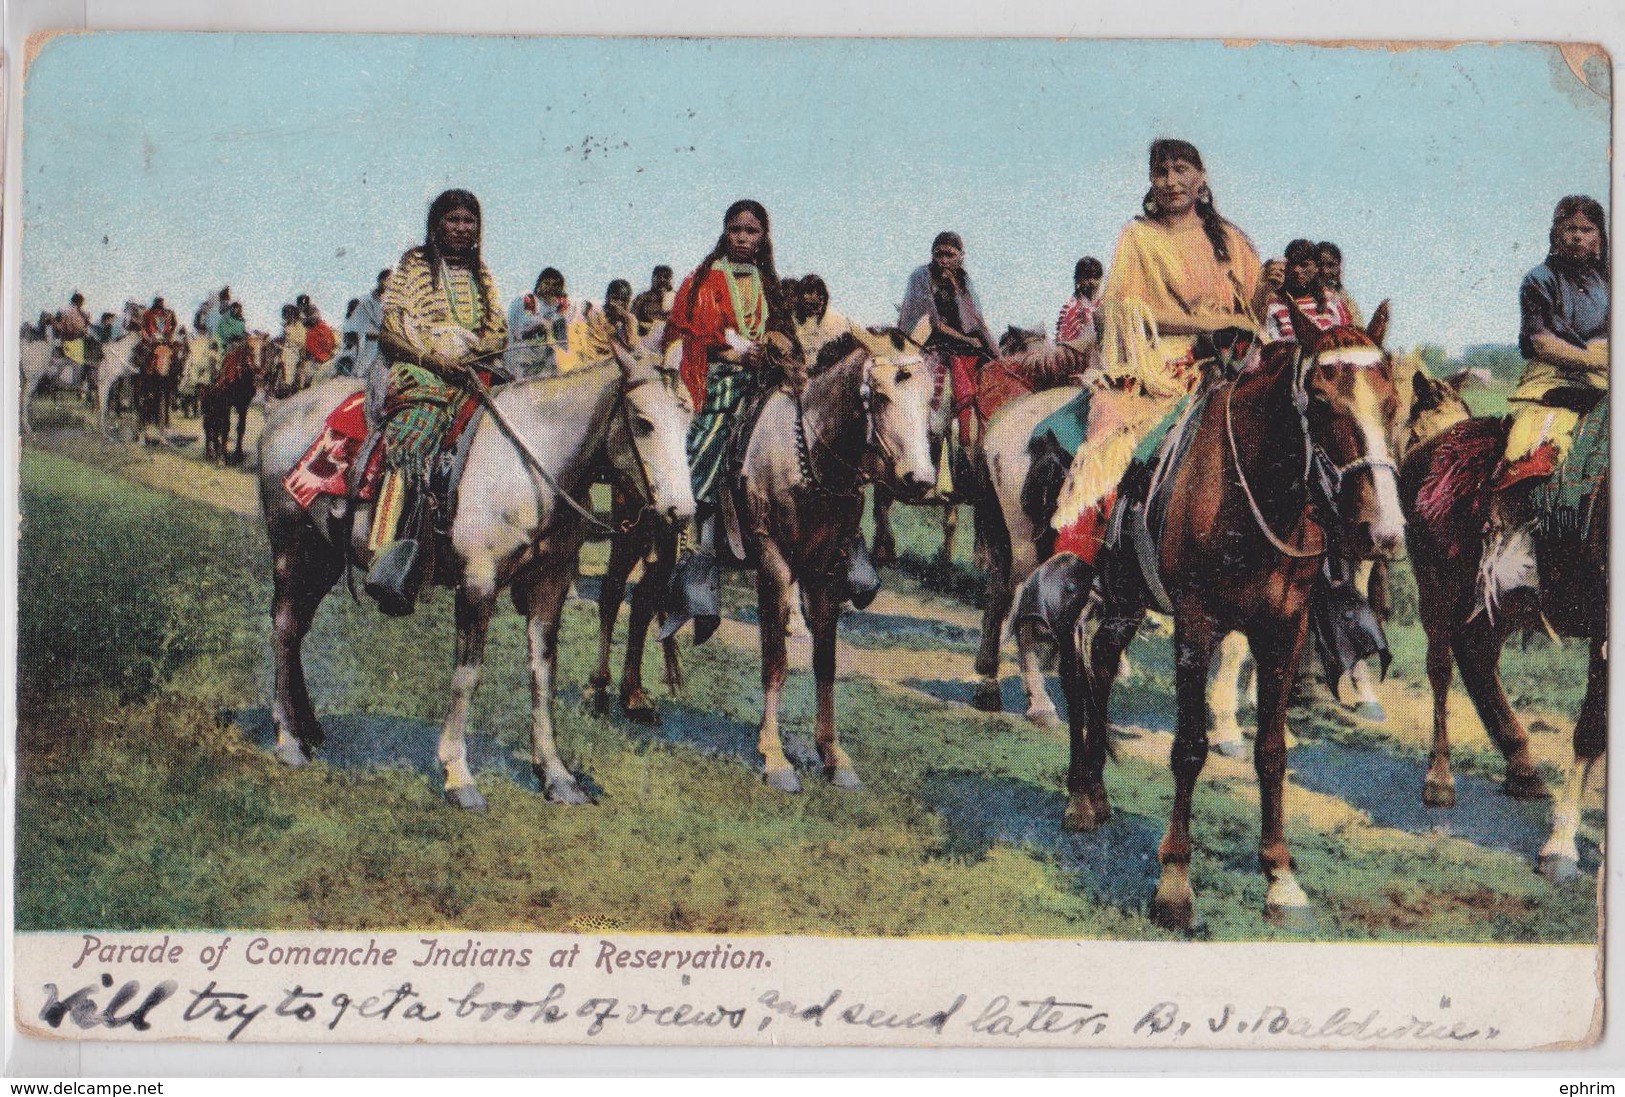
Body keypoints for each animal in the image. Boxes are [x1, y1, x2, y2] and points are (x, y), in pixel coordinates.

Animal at [258, 347, 692, 812]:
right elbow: (467, 676)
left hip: (323, 557)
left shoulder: (551, 585)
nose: (682, 512)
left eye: (688, 421)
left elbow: (543, 675)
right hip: (291, 547)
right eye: (644, 422)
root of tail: (281, 410)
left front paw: (556, 775)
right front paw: (457, 774)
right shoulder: (477, 585)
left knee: (298, 628)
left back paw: (308, 725)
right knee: (284, 626)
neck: (530, 467)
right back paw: (288, 739)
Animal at [1059, 310, 1404, 936]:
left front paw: (1280, 876)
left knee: (1099, 667)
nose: (1382, 531)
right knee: (1075, 676)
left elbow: (1272, 750)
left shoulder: (1284, 631)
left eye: (1391, 403)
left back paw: (1095, 791)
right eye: (1321, 402)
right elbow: (1189, 748)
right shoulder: (1196, 626)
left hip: (1123, 599)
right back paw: (1077, 796)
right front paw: (1174, 883)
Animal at [1391, 368, 1605, 884]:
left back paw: (1522, 768)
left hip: (1503, 599)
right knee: (1443, 668)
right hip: (1437, 586)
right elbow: (1592, 727)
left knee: (1477, 656)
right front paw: (1561, 846)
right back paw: (1440, 779)